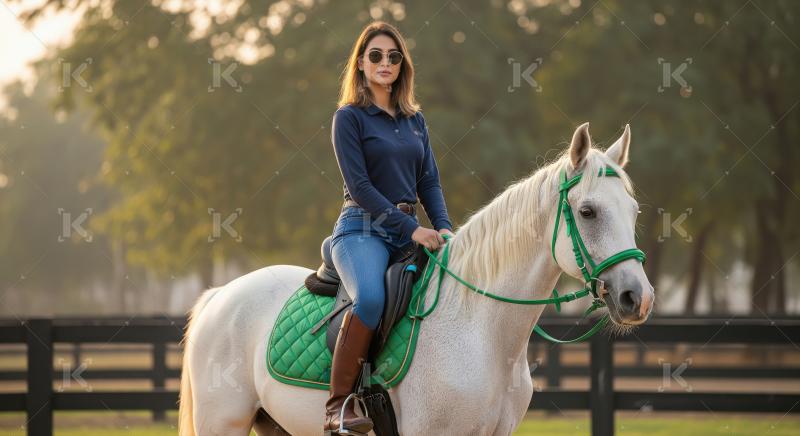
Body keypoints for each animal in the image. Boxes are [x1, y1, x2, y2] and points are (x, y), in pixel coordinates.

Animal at [178, 122, 654, 435]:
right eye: (587, 211)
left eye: (634, 211)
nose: (638, 297)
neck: (480, 331)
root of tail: (222, 294)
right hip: (222, 424)